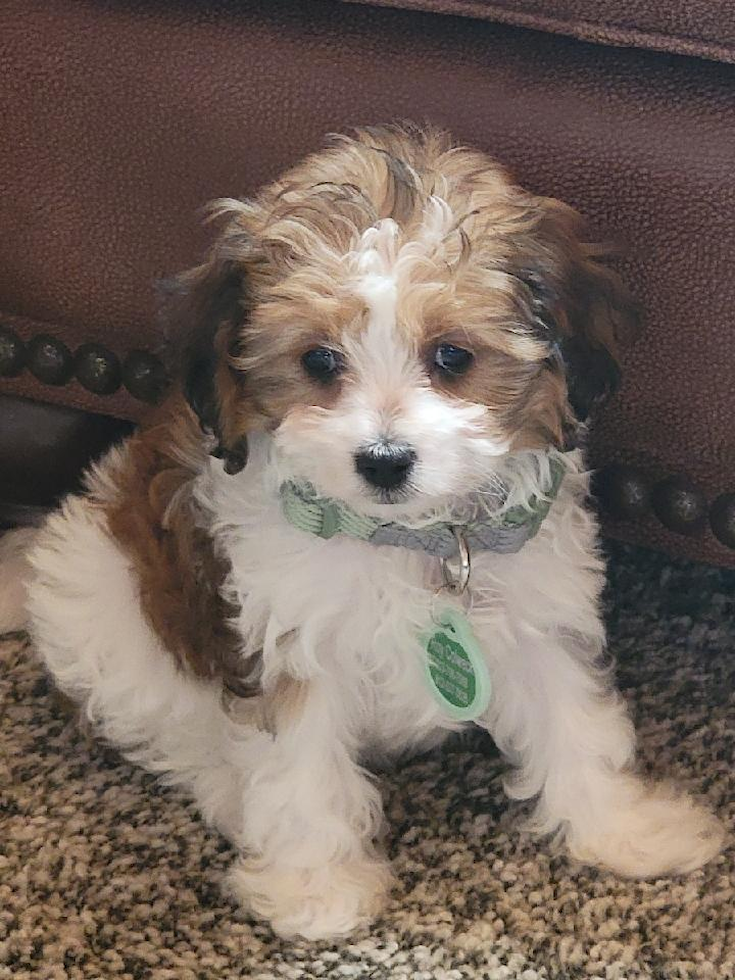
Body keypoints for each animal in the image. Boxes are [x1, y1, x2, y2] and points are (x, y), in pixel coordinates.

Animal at [1, 126, 724, 936]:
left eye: (451, 355)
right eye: (318, 360)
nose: (383, 459)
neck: (408, 537)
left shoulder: (539, 609)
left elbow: (576, 720)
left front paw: (626, 831)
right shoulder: (285, 640)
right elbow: (298, 766)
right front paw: (315, 890)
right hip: (110, 629)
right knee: (170, 731)